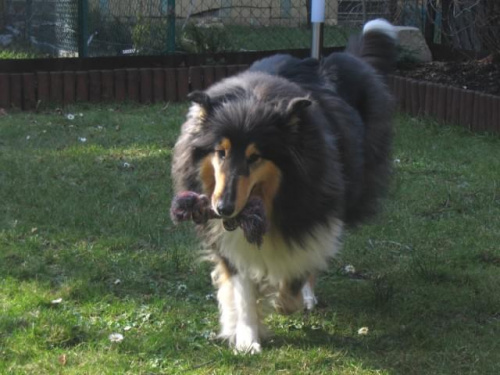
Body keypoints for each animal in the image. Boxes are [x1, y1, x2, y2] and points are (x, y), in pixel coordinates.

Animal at [172, 19, 398, 356]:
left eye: (255, 157)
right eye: (220, 152)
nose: (222, 208)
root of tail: (327, 62)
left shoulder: (312, 213)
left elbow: (295, 273)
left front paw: (283, 299)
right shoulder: (229, 240)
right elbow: (242, 289)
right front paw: (247, 337)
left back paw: (305, 296)